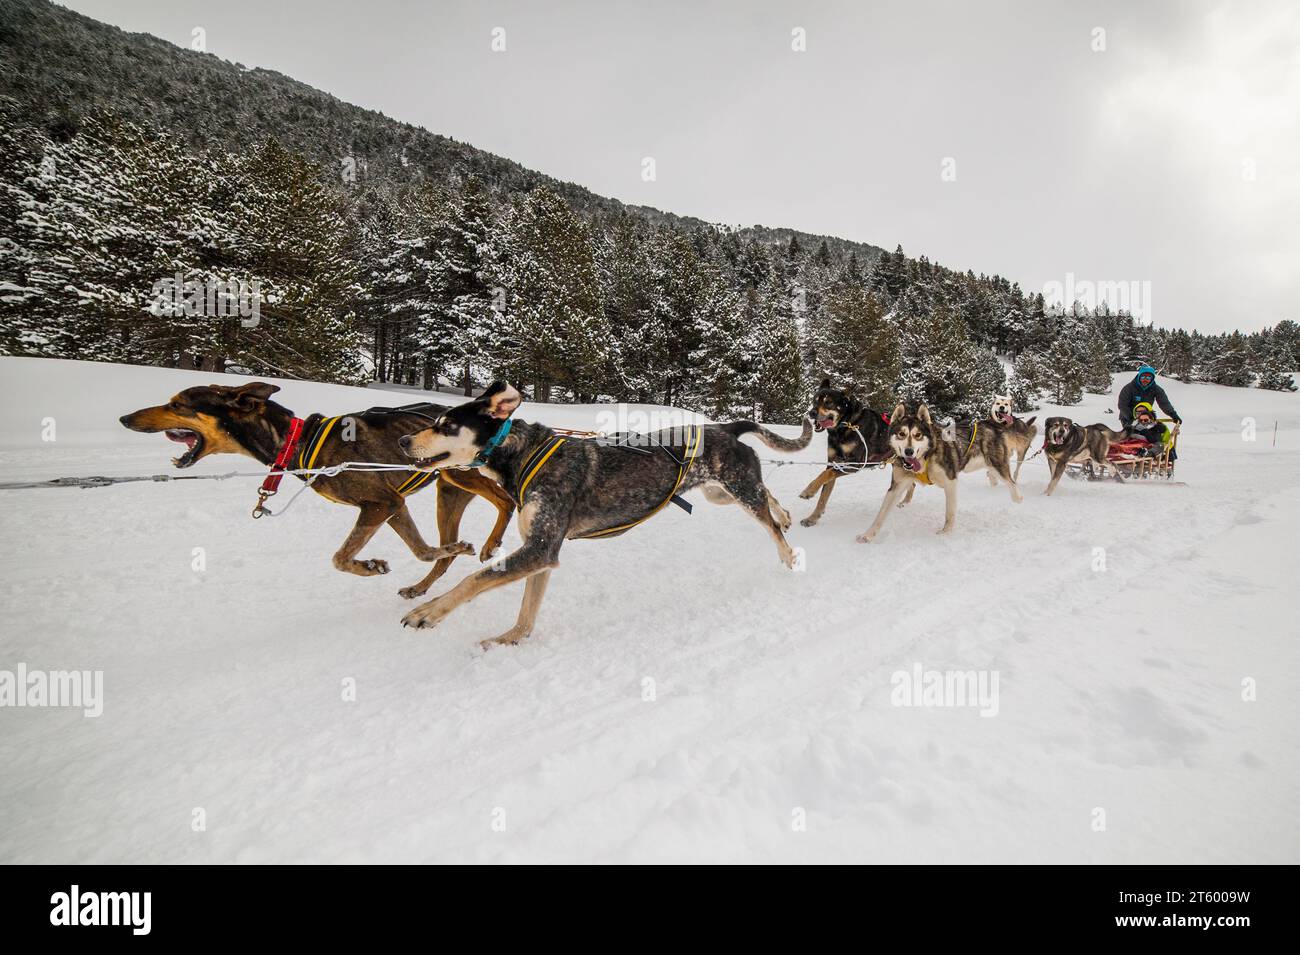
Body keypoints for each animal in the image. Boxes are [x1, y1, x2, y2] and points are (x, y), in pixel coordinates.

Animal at [116, 384, 512, 587]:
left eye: (177, 404)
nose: (124, 418)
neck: (298, 441)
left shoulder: (380, 504)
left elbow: (340, 558)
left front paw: (367, 566)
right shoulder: (392, 505)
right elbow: (425, 550)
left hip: (462, 473)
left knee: (505, 500)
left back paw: (492, 543)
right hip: (448, 494)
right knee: (447, 548)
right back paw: (424, 584)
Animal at [392, 382, 811, 649]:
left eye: (446, 425)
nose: (403, 440)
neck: (524, 453)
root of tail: (724, 426)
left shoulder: (539, 549)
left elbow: (473, 580)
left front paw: (429, 611)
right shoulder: (541, 555)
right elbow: (526, 615)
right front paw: (507, 639)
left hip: (739, 490)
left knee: (769, 523)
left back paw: (789, 552)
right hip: (719, 494)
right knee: (769, 496)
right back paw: (786, 514)